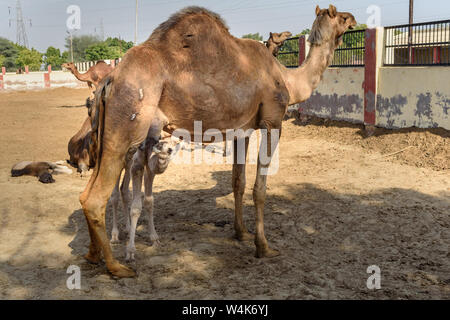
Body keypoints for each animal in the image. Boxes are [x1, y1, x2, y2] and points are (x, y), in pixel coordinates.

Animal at [80, 4, 356, 278]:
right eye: (342, 17)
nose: (353, 19)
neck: (286, 78)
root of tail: (110, 79)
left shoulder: (244, 129)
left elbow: (238, 182)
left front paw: (240, 232)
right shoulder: (272, 121)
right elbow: (260, 189)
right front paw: (264, 246)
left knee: (87, 193)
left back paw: (93, 255)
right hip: (127, 123)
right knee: (97, 196)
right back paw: (117, 266)